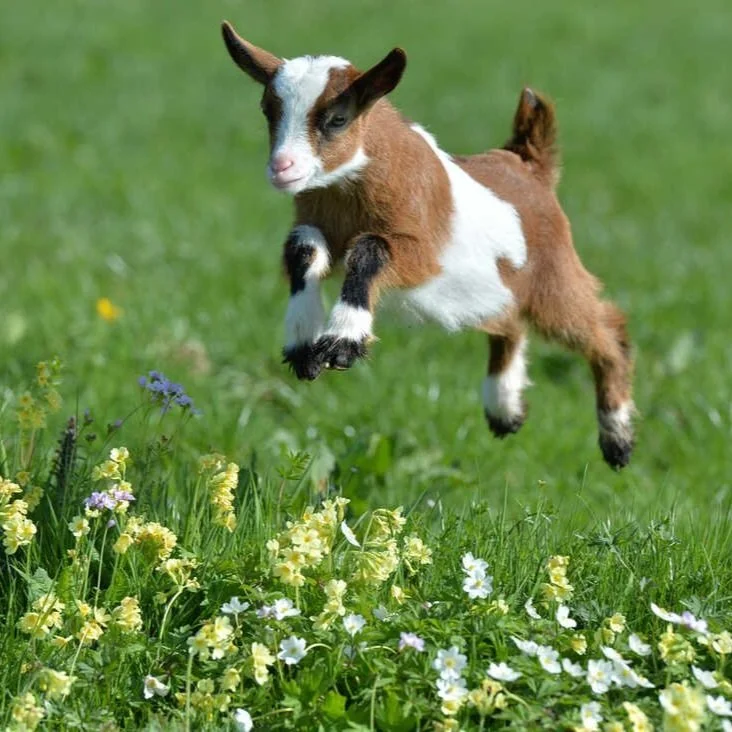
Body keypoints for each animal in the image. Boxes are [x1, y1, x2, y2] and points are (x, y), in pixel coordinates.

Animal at [220, 21, 635, 469]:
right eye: (268, 111)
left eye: (337, 119)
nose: (282, 168)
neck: (350, 190)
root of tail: (529, 163)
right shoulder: (315, 223)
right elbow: (303, 249)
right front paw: (303, 344)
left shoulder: (422, 252)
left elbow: (370, 249)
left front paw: (344, 342)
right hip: (498, 287)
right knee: (510, 324)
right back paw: (504, 409)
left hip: (553, 277)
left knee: (605, 329)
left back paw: (617, 438)